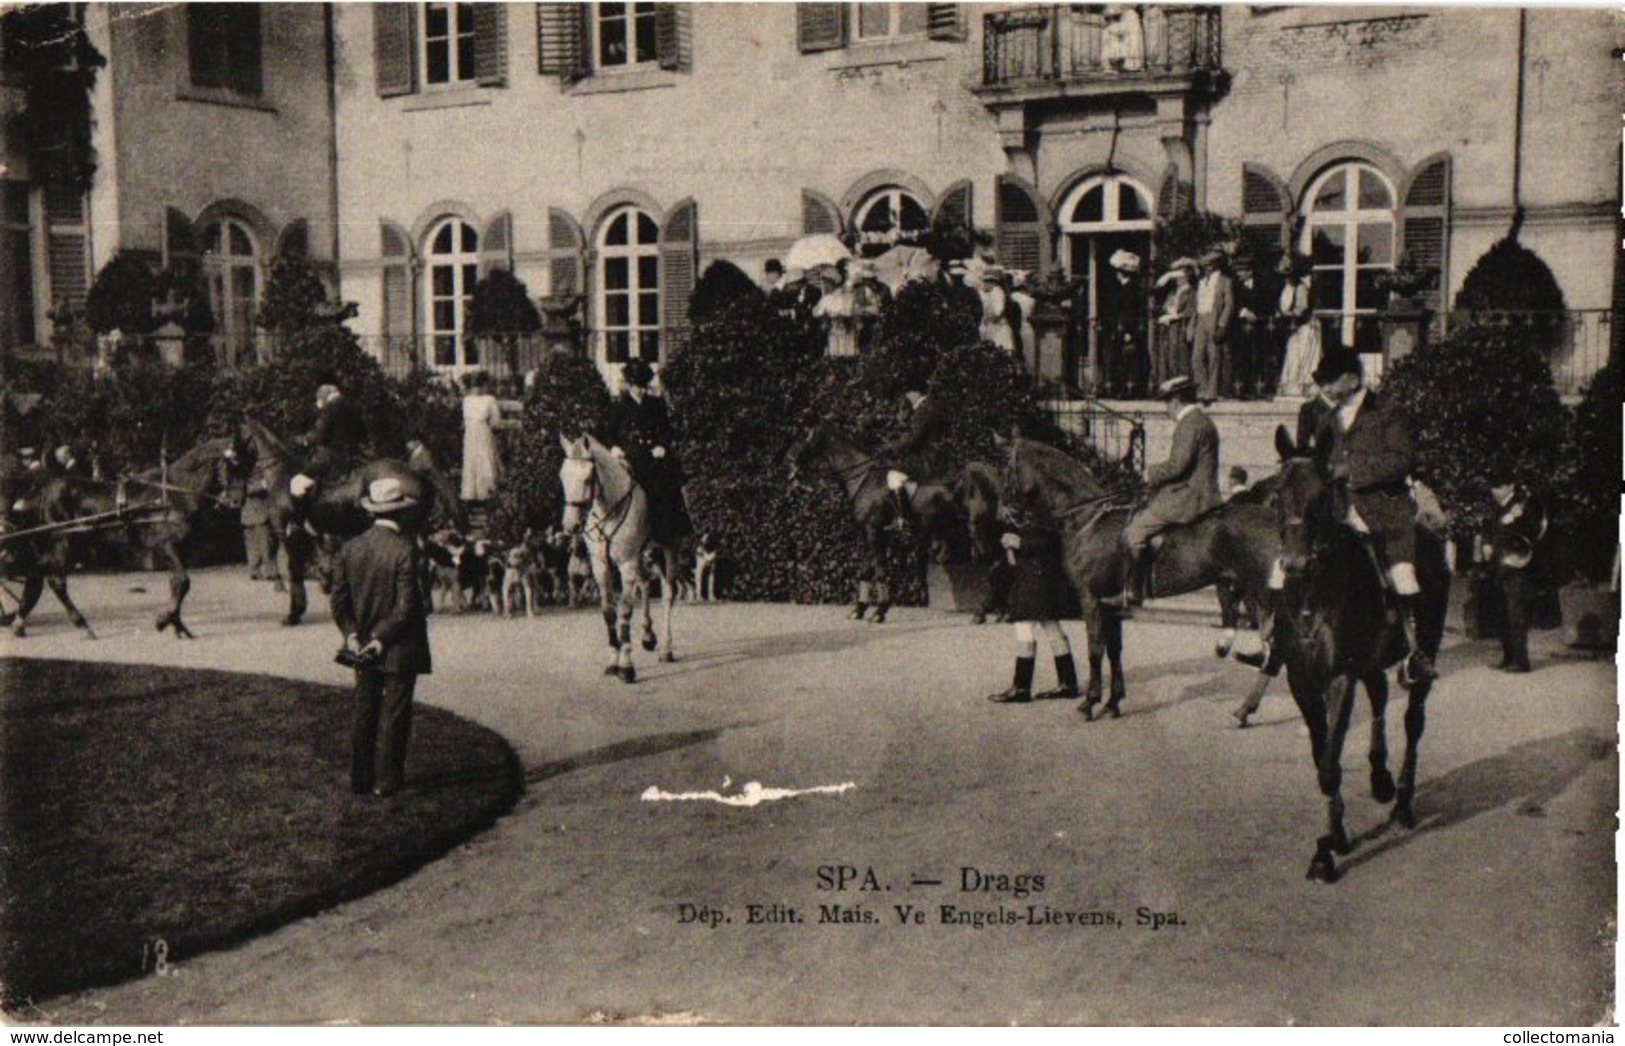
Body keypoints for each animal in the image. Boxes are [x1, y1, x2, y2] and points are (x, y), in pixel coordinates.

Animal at [559, 432, 679, 682]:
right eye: (562, 476)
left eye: (588, 479)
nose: (570, 525)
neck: (608, 510)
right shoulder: (600, 566)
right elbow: (609, 612)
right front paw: (613, 661)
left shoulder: (626, 565)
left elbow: (625, 611)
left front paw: (626, 666)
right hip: (645, 554)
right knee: (645, 584)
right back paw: (648, 636)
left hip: (669, 548)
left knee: (668, 594)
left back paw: (666, 649)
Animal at [789, 422, 962, 620]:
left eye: (806, 436)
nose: (790, 459)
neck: (861, 478)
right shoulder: (871, 534)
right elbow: (866, 570)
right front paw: (859, 609)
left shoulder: (873, 531)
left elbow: (879, 572)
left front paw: (879, 612)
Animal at [1267, 425, 1449, 883]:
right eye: (1277, 495)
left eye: (1321, 495)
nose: (1293, 564)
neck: (1314, 592)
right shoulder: (1301, 682)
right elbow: (1321, 757)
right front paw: (1337, 833)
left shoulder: (1339, 679)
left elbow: (1329, 763)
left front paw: (1326, 849)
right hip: (1370, 661)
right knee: (1381, 695)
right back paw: (1380, 776)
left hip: (1425, 646)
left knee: (1413, 721)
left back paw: (1402, 802)